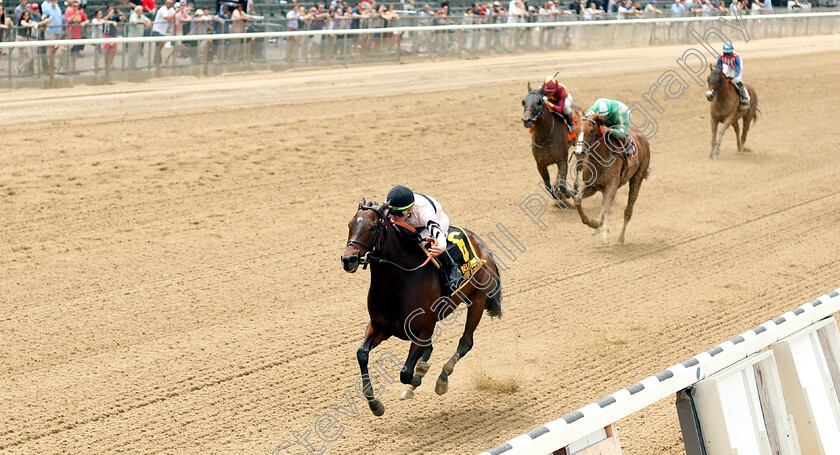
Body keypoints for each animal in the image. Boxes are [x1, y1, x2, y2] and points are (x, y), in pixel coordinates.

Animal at [340, 200, 502, 416]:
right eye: (350, 225)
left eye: (373, 227)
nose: (348, 259)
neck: (399, 281)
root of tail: (484, 247)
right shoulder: (379, 326)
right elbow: (362, 354)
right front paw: (375, 404)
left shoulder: (423, 330)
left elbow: (406, 372)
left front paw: (418, 376)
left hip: (477, 301)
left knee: (466, 342)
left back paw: (442, 379)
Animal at [572, 117, 648, 246]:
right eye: (576, 130)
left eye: (591, 131)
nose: (579, 152)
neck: (600, 159)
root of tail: (642, 138)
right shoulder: (591, 186)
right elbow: (578, 200)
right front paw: (593, 223)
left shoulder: (611, 185)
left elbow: (607, 208)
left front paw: (605, 236)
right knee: (604, 203)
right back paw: (598, 225)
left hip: (637, 178)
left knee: (628, 211)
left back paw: (621, 238)